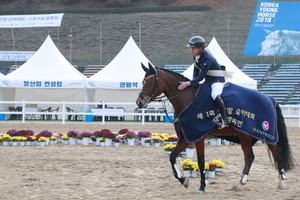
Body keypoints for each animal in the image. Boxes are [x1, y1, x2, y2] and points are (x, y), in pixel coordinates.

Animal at [137, 63, 296, 194]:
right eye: (142, 81)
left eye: (149, 82)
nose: (139, 102)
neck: (188, 99)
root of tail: (269, 98)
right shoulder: (186, 136)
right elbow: (172, 156)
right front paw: (184, 180)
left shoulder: (197, 135)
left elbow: (201, 162)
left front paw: (202, 186)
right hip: (245, 135)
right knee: (249, 157)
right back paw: (239, 183)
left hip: (267, 135)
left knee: (276, 154)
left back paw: (281, 182)